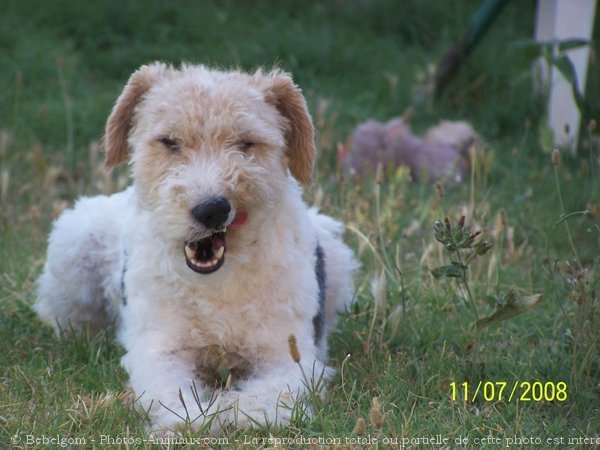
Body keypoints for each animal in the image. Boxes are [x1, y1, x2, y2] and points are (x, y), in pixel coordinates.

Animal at [36, 63, 356, 432]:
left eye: (247, 142)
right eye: (169, 141)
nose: (211, 210)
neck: (217, 283)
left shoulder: (287, 355)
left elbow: (262, 400)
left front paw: (231, 413)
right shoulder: (162, 352)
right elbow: (176, 401)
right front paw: (191, 421)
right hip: (73, 250)